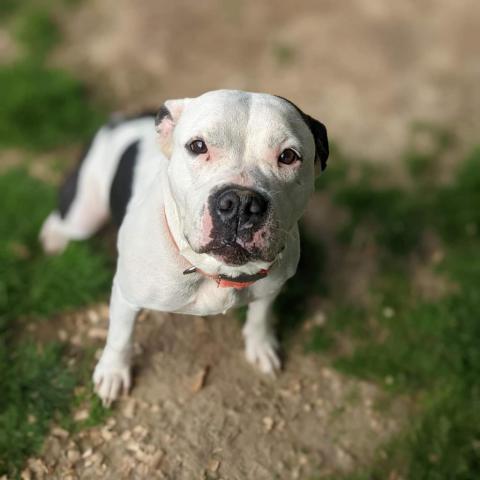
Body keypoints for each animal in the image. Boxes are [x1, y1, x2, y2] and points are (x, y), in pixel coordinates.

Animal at [39, 90, 328, 404]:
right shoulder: (126, 295)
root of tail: (120, 120)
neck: (214, 270)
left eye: (288, 156)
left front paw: (261, 345)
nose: (241, 202)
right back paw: (53, 238)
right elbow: (120, 336)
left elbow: (260, 316)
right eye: (198, 146)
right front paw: (113, 372)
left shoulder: (271, 287)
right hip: (84, 213)